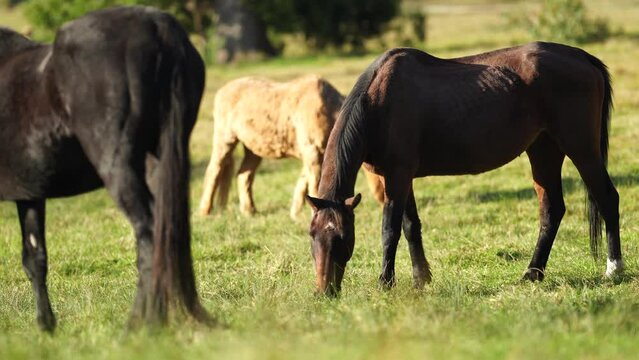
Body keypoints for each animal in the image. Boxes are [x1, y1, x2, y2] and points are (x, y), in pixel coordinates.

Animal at [0, 6, 211, 332]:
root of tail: (157, 24)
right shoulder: (30, 194)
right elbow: (35, 258)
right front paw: (47, 326)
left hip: (118, 167)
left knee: (149, 235)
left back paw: (140, 325)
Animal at [198, 74, 382, 218]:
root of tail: (222, 90)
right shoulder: (312, 151)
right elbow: (314, 185)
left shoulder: (316, 155)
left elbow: (303, 182)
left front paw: (296, 214)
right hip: (225, 138)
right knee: (214, 171)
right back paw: (204, 211)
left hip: (253, 148)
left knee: (244, 175)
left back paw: (249, 211)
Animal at [308, 42, 624, 296]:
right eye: (312, 236)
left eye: (341, 238)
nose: (325, 292)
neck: (378, 102)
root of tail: (584, 58)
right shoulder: (398, 176)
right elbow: (410, 226)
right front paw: (421, 278)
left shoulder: (398, 175)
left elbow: (390, 229)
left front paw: (386, 283)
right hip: (544, 150)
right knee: (552, 211)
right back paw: (532, 274)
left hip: (581, 148)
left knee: (607, 198)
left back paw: (614, 269)